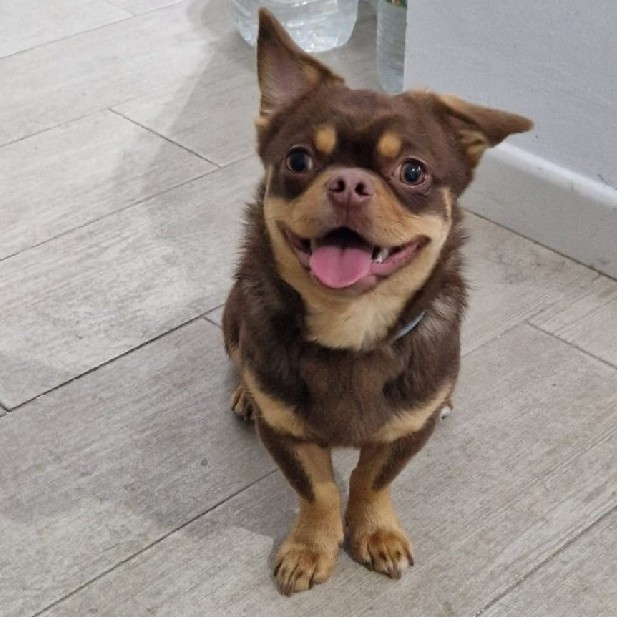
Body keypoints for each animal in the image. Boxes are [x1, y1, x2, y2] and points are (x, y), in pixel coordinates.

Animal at [222, 9, 532, 595]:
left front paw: (374, 533)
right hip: (232, 320)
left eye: (413, 172)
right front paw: (312, 547)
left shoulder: (408, 432)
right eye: (298, 160)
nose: (348, 183)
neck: (350, 328)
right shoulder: (287, 435)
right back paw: (245, 394)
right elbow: (319, 490)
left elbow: (370, 479)